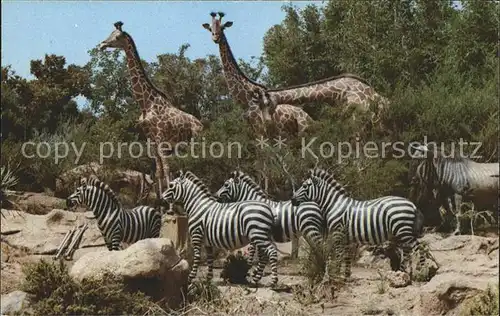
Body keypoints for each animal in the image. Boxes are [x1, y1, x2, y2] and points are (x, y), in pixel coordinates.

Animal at [99, 20, 203, 207]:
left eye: (117, 37)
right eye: (110, 33)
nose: (102, 45)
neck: (146, 103)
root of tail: (202, 124)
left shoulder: (161, 137)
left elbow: (167, 169)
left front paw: (170, 205)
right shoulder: (151, 140)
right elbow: (159, 171)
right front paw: (162, 202)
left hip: (195, 140)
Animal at [290, 169, 426, 278]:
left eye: (305, 186)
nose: (292, 200)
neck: (334, 205)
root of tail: (412, 204)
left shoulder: (338, 233)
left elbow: (339, 255)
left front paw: (336, 274)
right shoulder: (347, 238)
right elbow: (347, 256)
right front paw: (346, 275)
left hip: (403, 230)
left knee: (418, 247)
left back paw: (422, 272)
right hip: (401, 232)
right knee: (407, 251)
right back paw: (402, 272)